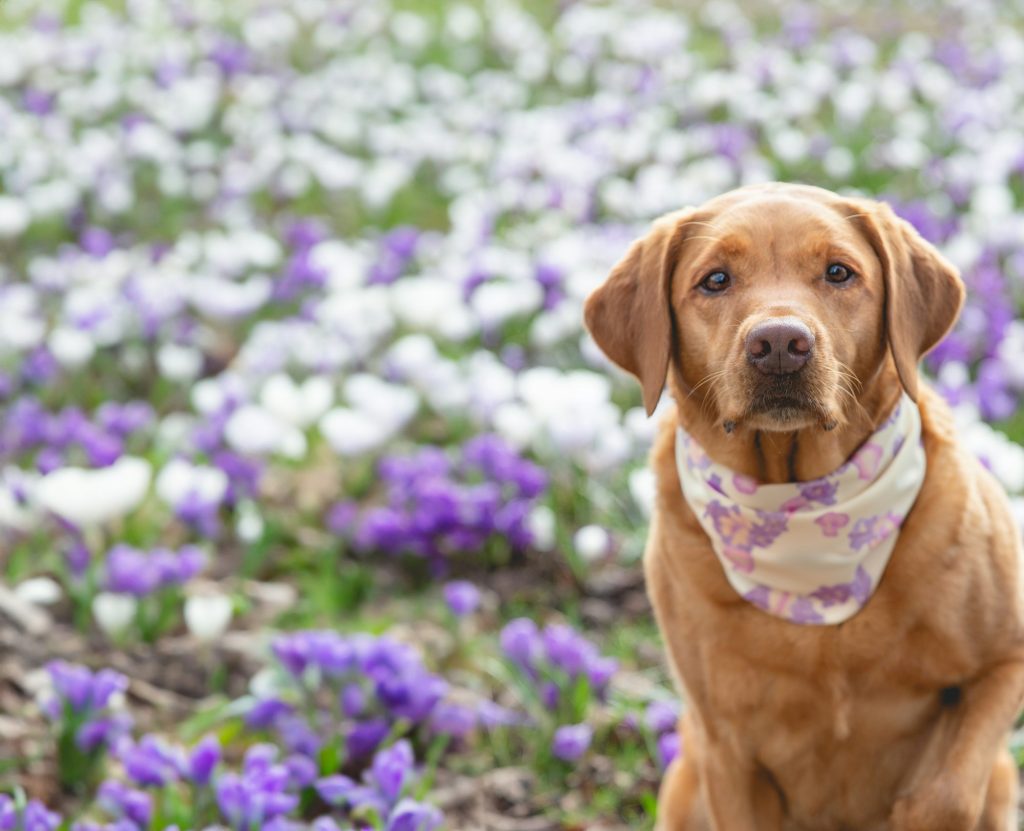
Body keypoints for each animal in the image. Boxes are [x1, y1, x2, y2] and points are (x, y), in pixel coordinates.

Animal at [585, 183, 1024, 831]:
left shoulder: (1004, 663)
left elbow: (945, 793)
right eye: (715, 280)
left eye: (839, 272)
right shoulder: (726, 749)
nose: (779, 345)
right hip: (685, 782)